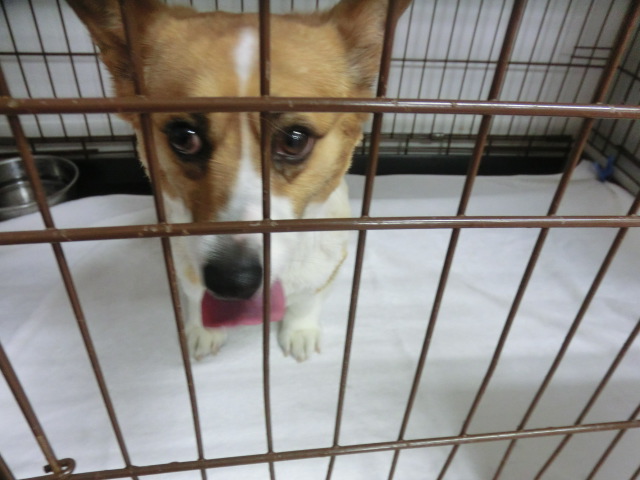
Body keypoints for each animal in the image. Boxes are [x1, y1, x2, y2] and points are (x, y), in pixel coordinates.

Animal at [67, 0, 410, 361]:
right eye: (183, 137)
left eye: (294, 140)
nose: (233, 281)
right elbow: (194, 298)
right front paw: (202, 330)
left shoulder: (326, 268)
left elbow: (306, 301)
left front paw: (299, 331)